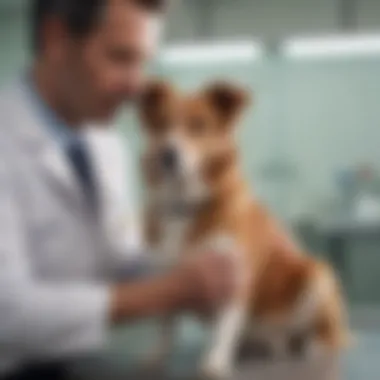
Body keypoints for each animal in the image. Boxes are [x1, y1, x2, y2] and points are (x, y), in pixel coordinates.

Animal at [138, 79, 348, 378]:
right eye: (161, 124)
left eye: (199, 125)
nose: (168, 154)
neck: (185, 205)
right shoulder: (169, 277)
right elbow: (165, 327)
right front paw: (156, 357)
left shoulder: (234, 274)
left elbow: (223, 326)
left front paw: (214, 362)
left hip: (317, 273)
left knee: (327, 334)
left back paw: (310, 346)